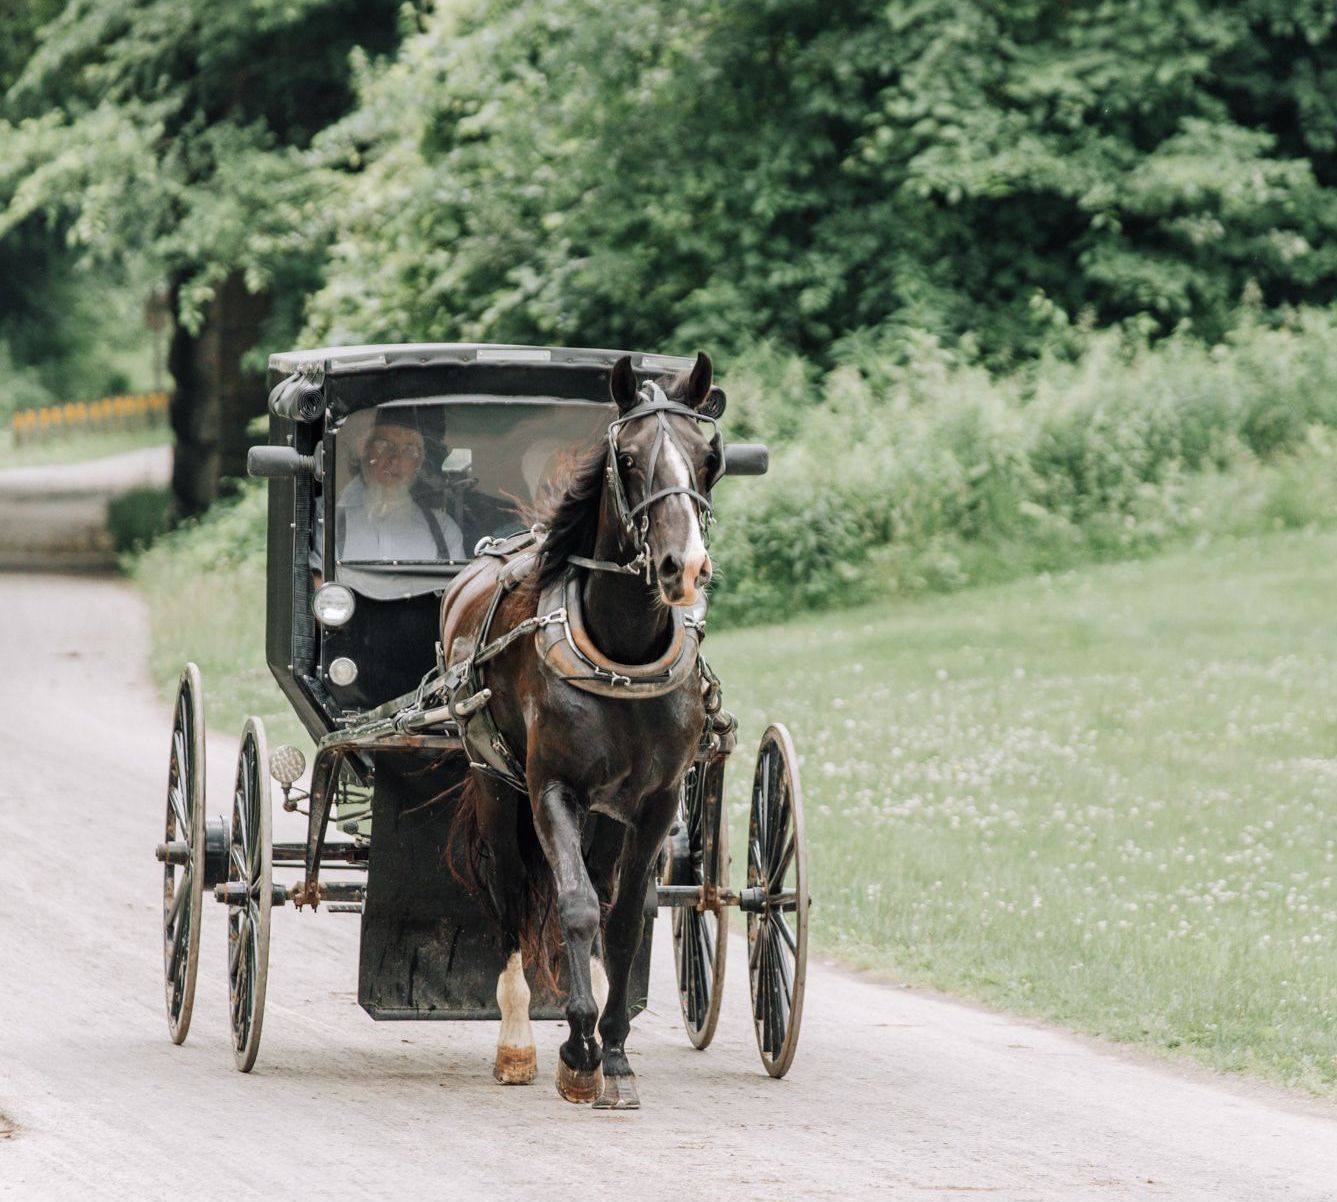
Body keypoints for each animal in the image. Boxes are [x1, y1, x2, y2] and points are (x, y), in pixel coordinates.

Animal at [439, 351, 723, 1109]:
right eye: (626, 458)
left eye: (708, 456)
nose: (683, 567)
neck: (621, 657)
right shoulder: (552, 790)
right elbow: (573, 908)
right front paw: (578, 1050)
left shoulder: (654, 803)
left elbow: (621, 920)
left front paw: (615, 1054)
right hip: (496, 786)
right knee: (511, 894)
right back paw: (516, 1040)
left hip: (608, 817)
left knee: (603, 890)